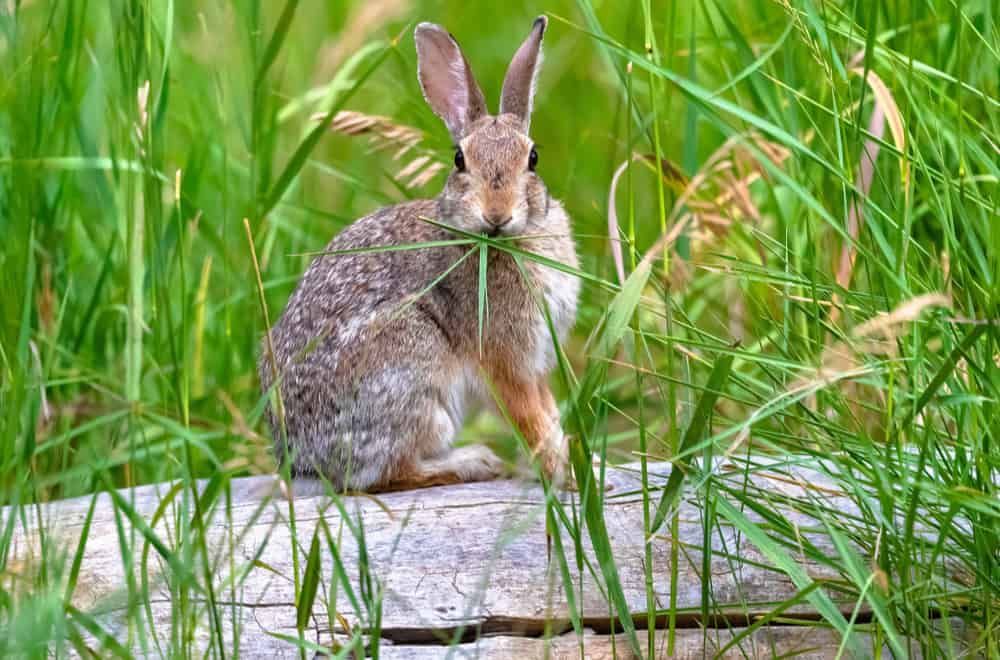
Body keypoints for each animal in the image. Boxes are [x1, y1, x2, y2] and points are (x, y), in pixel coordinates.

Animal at [258, 16, 579, 492]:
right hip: (414, 368)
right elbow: (529, 417)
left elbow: (548, 413)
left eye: (533, 158)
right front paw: (564, 477)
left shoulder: (536, 360)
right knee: (385, 474)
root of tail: (299, 456)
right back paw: (474, 462)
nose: (497, 214)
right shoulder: (504, 357)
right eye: (460, 160)